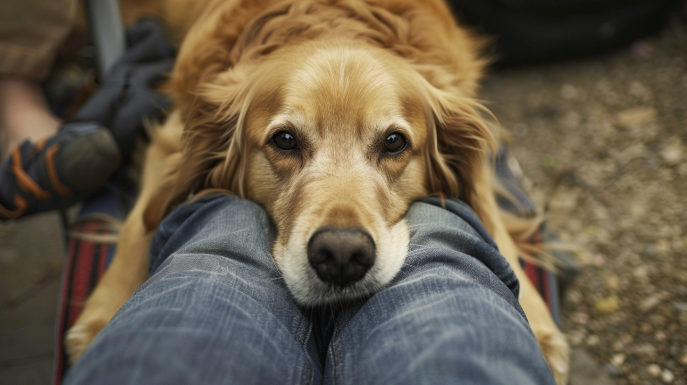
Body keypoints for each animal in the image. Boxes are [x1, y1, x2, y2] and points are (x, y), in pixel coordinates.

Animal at [64, 0, 568, 380]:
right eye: (285, 140)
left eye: (394, 142)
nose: (342, 256)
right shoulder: (171, 134)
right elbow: (141, 218)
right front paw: (102, 314)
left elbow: (492, 220)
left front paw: (538, 324)